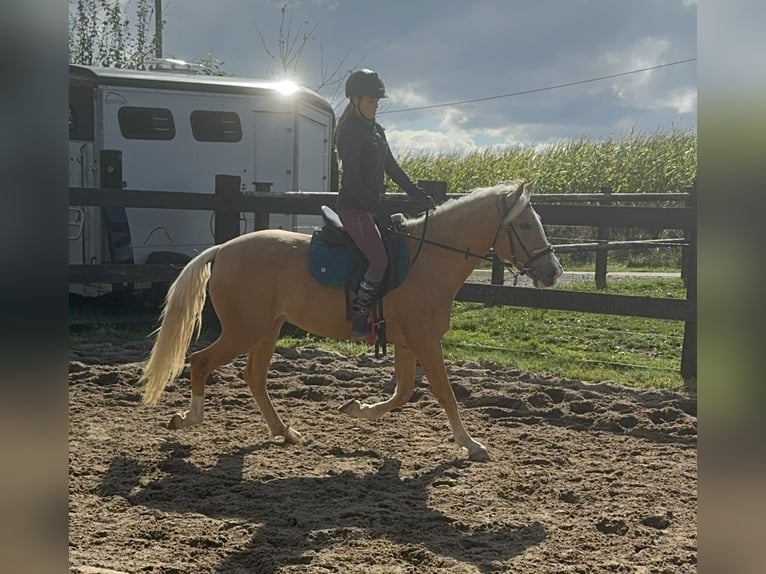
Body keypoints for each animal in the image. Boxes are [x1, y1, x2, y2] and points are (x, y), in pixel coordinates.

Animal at [142, 182, 564, 462]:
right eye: (526, 225)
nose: (554, 271)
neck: (427, 259)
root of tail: (223, 249)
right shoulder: (426, 340)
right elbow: (444, 393)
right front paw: (472, 444)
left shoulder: (408, 342)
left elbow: (404, 392)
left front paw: (357, 409)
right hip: (245, 331)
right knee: (200, 363)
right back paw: (188, 419)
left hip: (265, 330)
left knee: (254, 377)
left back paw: (283, 431)